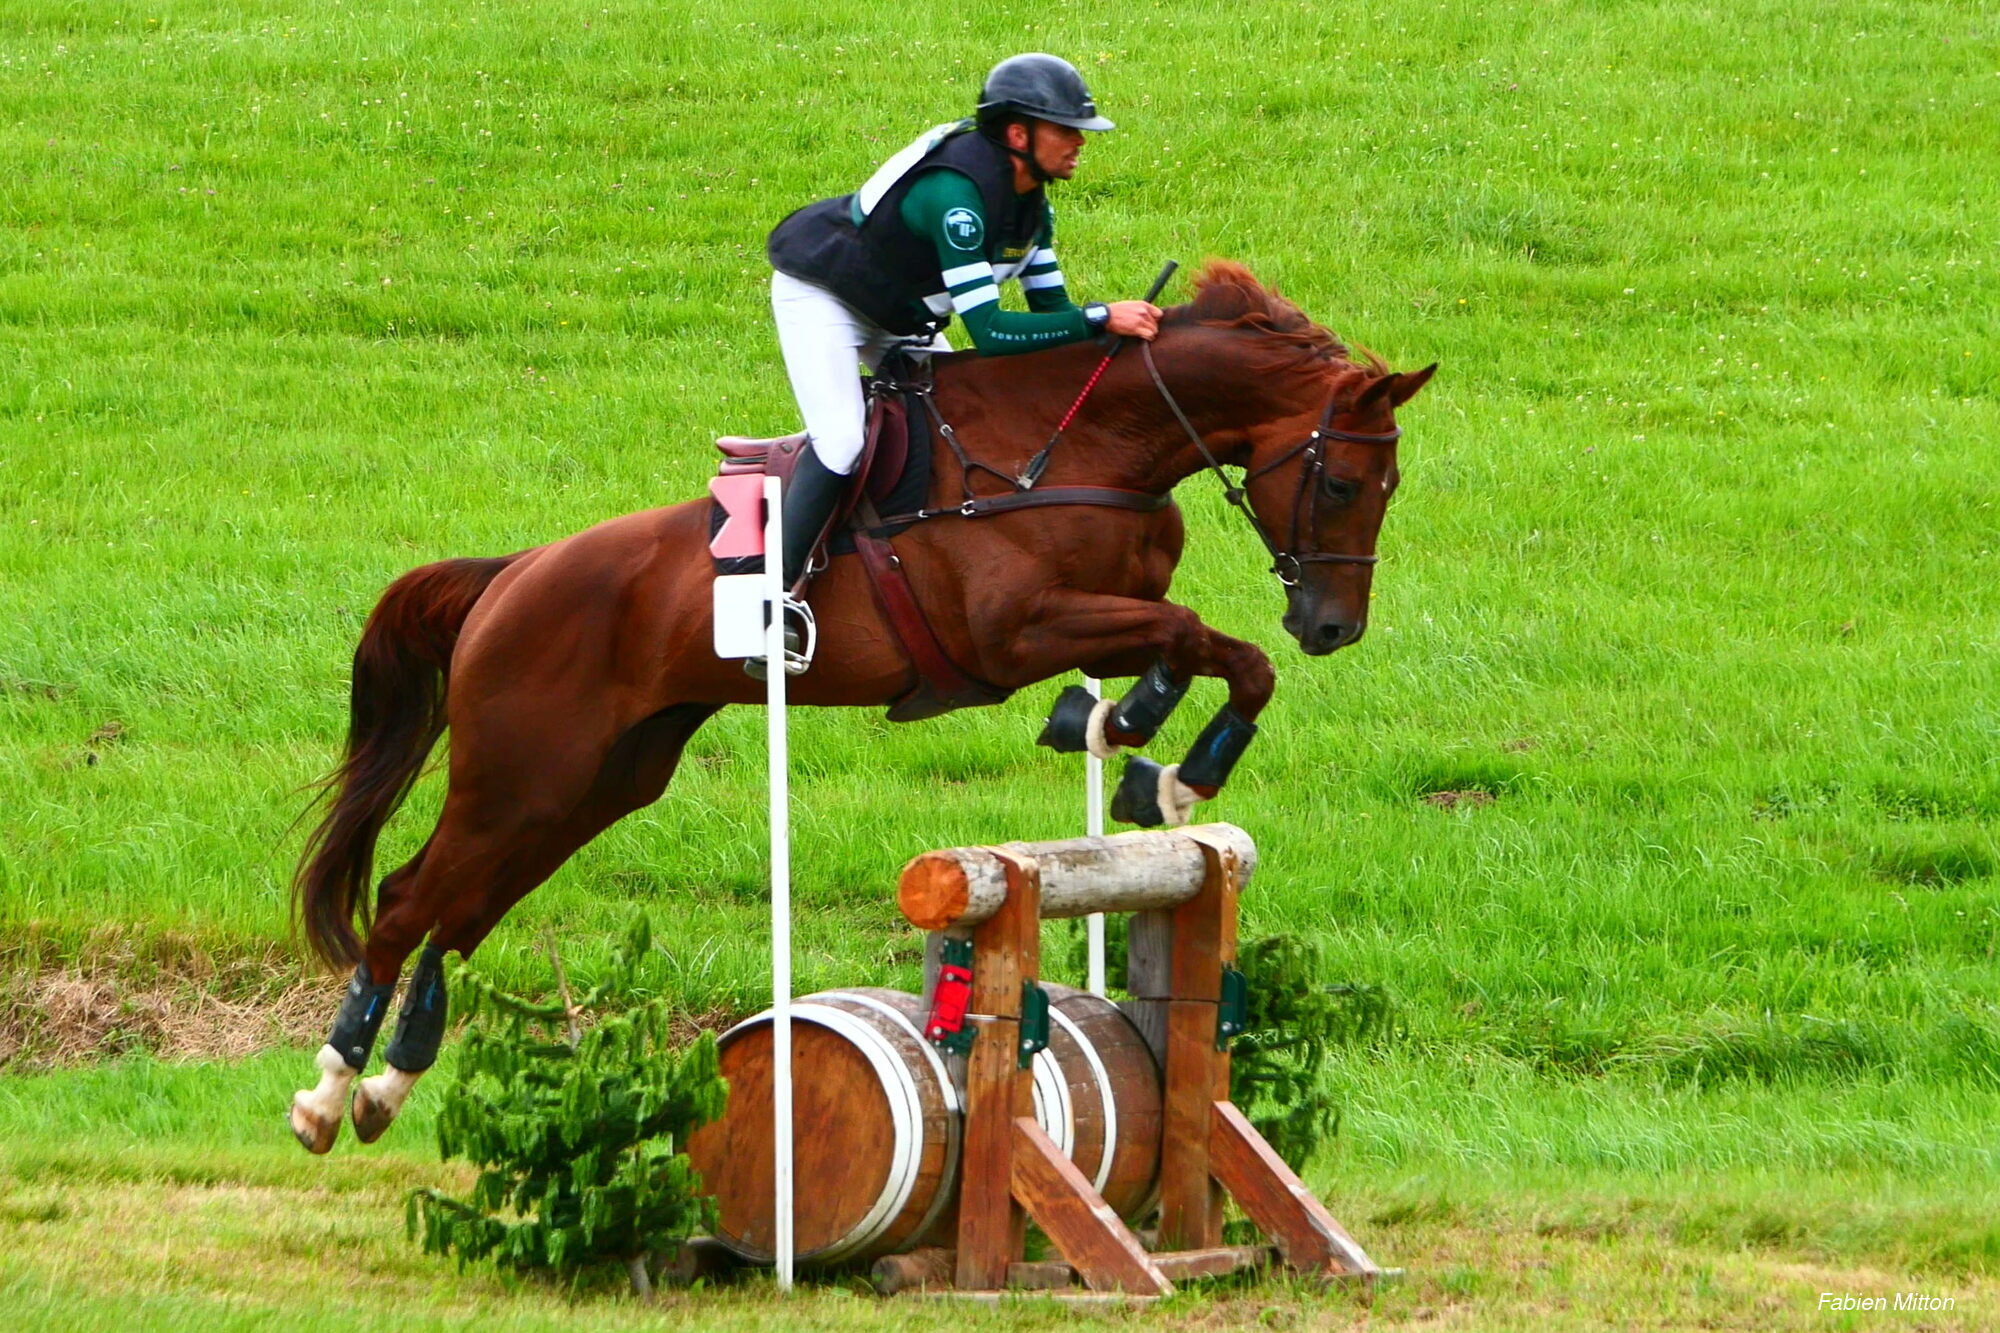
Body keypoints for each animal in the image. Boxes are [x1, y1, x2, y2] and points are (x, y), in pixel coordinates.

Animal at [286, 260, 1434, 1153]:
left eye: (1389, 490)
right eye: (1341, 484)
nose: (1333, 625)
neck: (1073, 445)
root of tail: (511, 576)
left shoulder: (1102, 612)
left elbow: (1197, 649)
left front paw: (1130, 744)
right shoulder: (1015, 632)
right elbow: (1207, 639)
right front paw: (1176, 770)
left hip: (590, 787)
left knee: (457, 912)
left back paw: (387, 1084)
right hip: (522, 775)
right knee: (408, 900)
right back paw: (328, 1094)